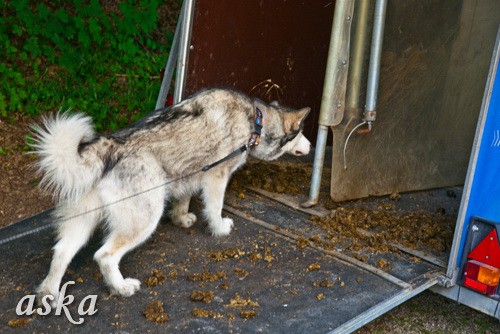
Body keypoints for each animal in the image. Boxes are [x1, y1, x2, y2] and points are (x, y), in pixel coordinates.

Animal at [32, 88, 308, 300]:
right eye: (302, 132)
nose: (311, 144)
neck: (255, 120)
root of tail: (107, 146)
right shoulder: (216, 177)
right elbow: (214, 208)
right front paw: (219, 229)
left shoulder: (189, 175)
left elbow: (183, 202)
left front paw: (181, 219)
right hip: (145, 219)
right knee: (104, 256)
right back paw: (121, 288)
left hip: (82, 222)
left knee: (61, 252)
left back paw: (50, 294)